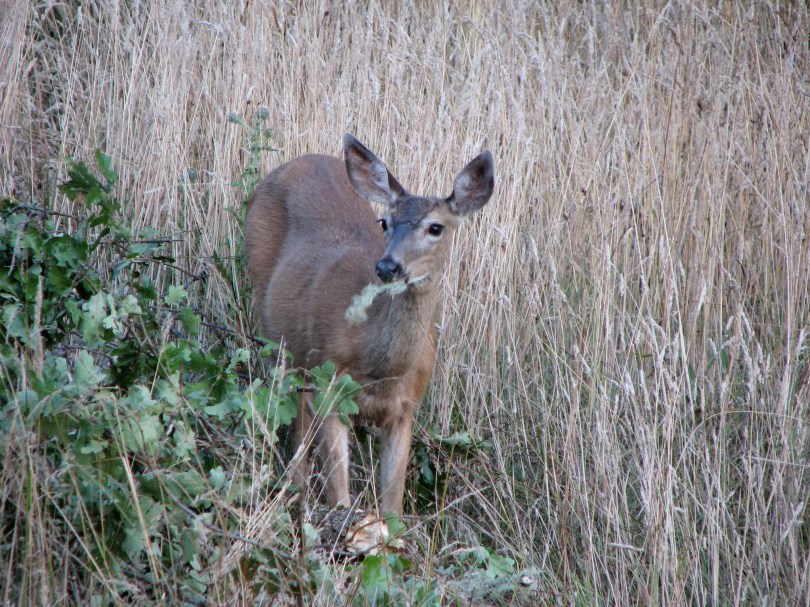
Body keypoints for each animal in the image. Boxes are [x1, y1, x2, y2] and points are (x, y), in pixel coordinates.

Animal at [244, 133, 494, 515]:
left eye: (436, 227)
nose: (388, 266)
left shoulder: (406, 408)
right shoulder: (330, 387)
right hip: (280, 340)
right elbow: (341, 498)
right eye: (384, 222)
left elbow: (393, 506)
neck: (380, 369)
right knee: (294, 427)